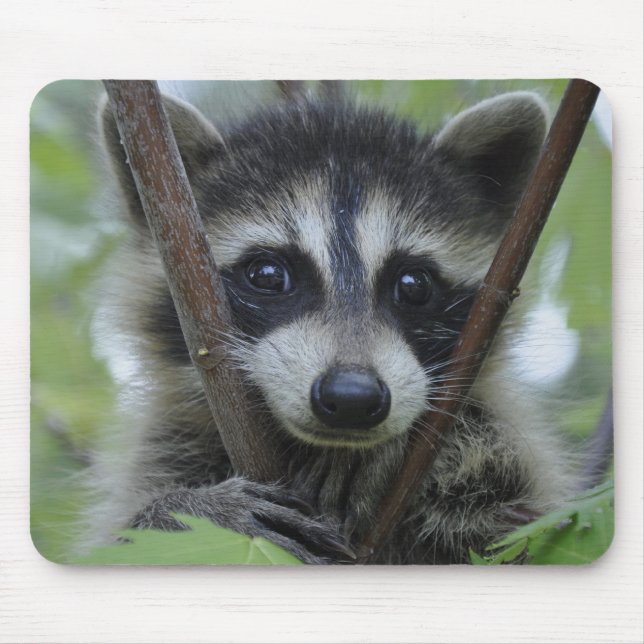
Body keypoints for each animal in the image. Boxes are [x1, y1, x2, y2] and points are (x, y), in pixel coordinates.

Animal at [90, 85, 579, 564]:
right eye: (267, 274)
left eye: (414, 284)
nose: (351, 398)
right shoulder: (168, 440)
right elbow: (125, 537)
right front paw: (185, 512)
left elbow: (522, 513)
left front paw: (412, 446)